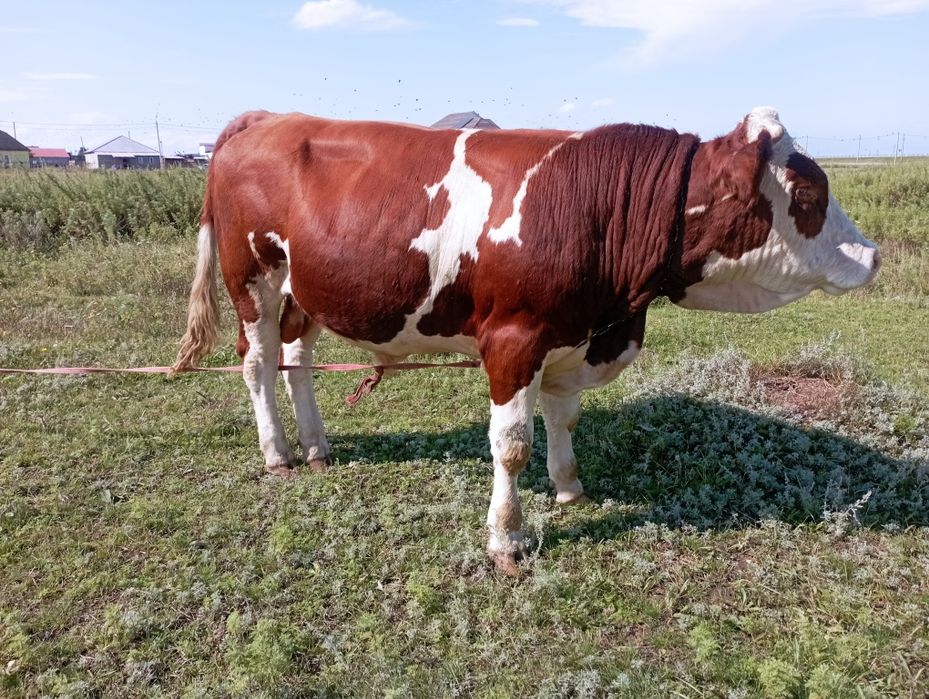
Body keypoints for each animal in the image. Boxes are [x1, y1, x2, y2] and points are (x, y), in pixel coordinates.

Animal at [173, 107, 880, 574]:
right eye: (808, 192)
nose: (872, 255)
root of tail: (267, 118)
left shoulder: (571, 340)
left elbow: (563, 419)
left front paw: (570, 488)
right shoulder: (515, 341)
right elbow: (511, 445)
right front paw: (507, 541)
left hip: (308, 290)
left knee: (297, 359)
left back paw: (317, 447)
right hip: (252, 279)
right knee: (259, 363)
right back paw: (278, 453)